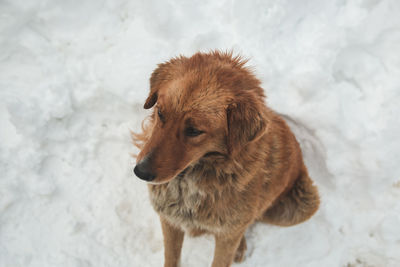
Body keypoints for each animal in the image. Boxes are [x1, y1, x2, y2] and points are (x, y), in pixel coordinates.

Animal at [133, 51, 320, 266]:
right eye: (161, 113)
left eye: (194, 131)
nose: (140, 171)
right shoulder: (169, 220)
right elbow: (171, 259)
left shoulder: (226, 235)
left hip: (305, 202)